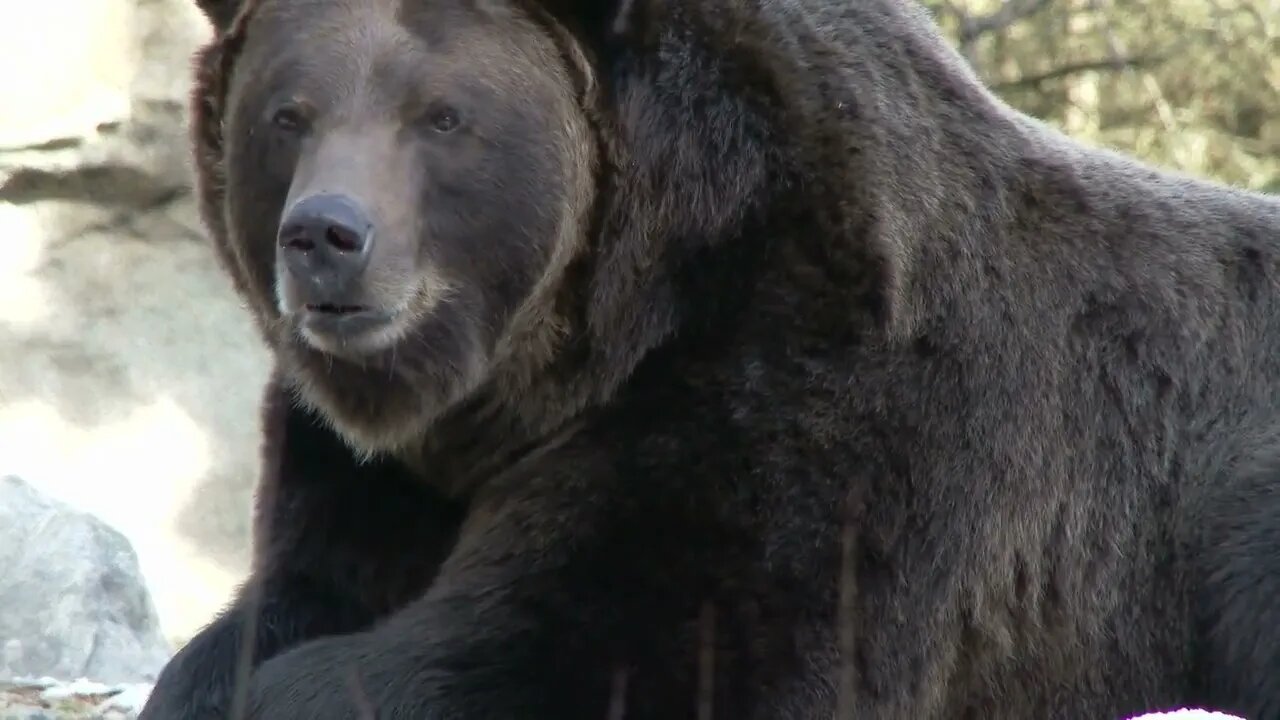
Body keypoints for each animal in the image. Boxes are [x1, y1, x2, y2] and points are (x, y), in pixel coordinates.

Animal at [137, 0, 1280, 712]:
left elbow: (607, 648)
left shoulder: (803, 398)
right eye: (288, 113)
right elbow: (294, 594)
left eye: (443, 117)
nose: (326, 235)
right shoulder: (376, 470)